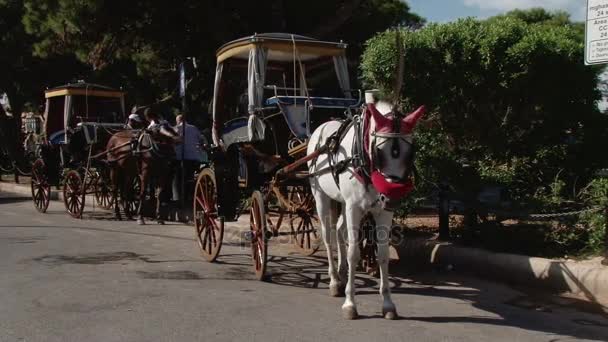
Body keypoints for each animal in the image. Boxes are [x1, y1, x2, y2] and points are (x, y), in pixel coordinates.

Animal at [306, 102, 426, 320]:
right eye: (379, 151)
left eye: (410, 152)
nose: (392, 197)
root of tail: (321, 127)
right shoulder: (354, 207)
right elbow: (354, 253)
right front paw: (350, 303)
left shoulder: (383, 212)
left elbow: (383, 254)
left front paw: (388, 304)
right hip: (321, 196)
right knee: (328, 236)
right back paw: (334, 280)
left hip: (343, 201)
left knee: (339, 229)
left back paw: (342, 272)